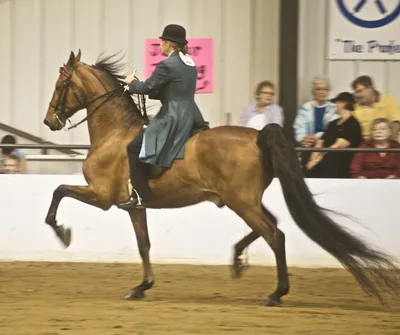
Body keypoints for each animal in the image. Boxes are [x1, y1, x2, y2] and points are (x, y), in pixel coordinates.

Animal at [42, 49, 398, 308]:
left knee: (274, 234)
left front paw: (62, 233)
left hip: (241, 201)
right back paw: (238, 259)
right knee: (273, 225)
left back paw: (276, 293)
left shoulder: (102, 195)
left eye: (60, 86)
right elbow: (144, 244)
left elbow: (59, 191)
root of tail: (258, 136)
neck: (115, 132)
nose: (49, 122)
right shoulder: (135, 206)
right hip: (244, 200)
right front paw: (142, 287)